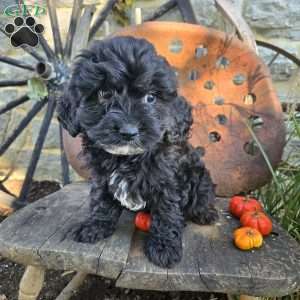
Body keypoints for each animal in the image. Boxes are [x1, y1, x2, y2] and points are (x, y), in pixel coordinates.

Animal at [57, 35, 218, 268]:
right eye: (105, 94)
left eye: (151, 98)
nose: (128, 131)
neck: (127, 158)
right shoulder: (101, 177)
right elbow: (101, 200)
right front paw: (95, 226)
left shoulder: (167, 180)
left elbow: (167, 210)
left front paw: (164, 247)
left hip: (200, 177)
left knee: (203, 195)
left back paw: (205, 213)